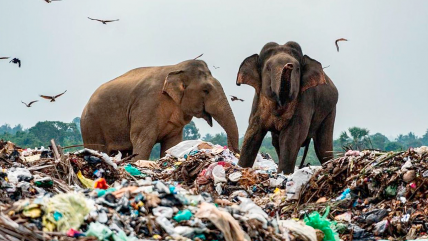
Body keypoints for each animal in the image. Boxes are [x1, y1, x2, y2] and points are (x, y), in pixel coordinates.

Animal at [81, 59, 241, 159]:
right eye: (206, 90)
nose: (233, 153)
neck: (176, 68)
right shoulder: (147, 105)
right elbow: (143, 140)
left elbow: (172, 144)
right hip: (91, 126)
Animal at [237, 41, 338, 173]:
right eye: (268, 68)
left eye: (298, 69)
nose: (289, 65)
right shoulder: (258, 102)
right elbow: (253, 133)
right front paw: (240, 168)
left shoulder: (304, 100)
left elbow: (291, 136)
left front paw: (284, 174)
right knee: (276, 142)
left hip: (330, 111)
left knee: (323, 147)